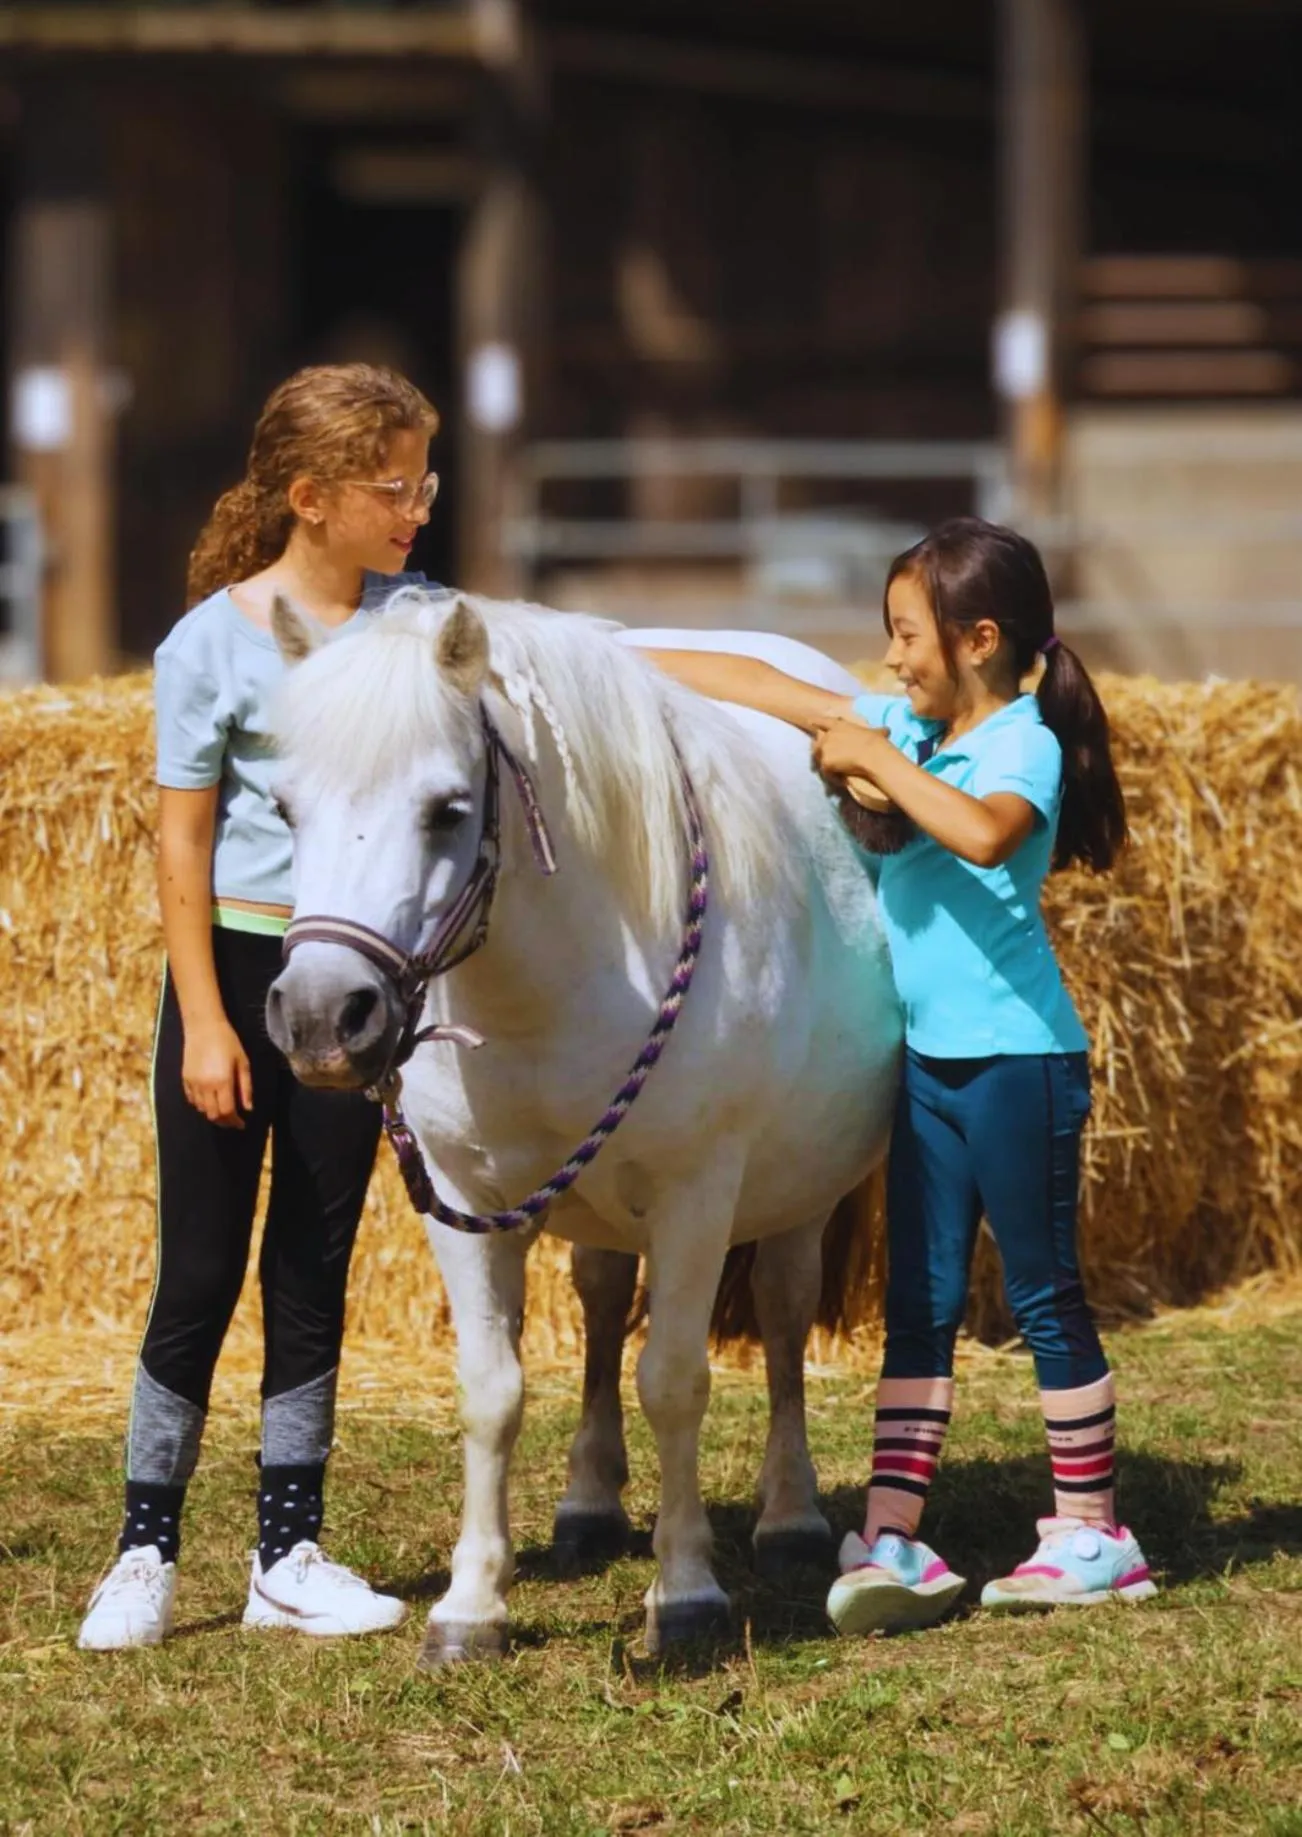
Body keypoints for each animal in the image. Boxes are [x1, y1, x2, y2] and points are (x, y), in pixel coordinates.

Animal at [264, 588, 902, 1660]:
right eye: (284, 808)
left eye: (447, 809)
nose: (321, 1018)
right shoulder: (459, 1200)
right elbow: (492, 1390)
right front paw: (471, 1606)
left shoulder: (696, 1195)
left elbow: (675, 1380)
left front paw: (685, 1595)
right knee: (604, 1304)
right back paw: (590, 1503)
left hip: (796, 1197)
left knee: (781, 1320)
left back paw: (789, 1515)